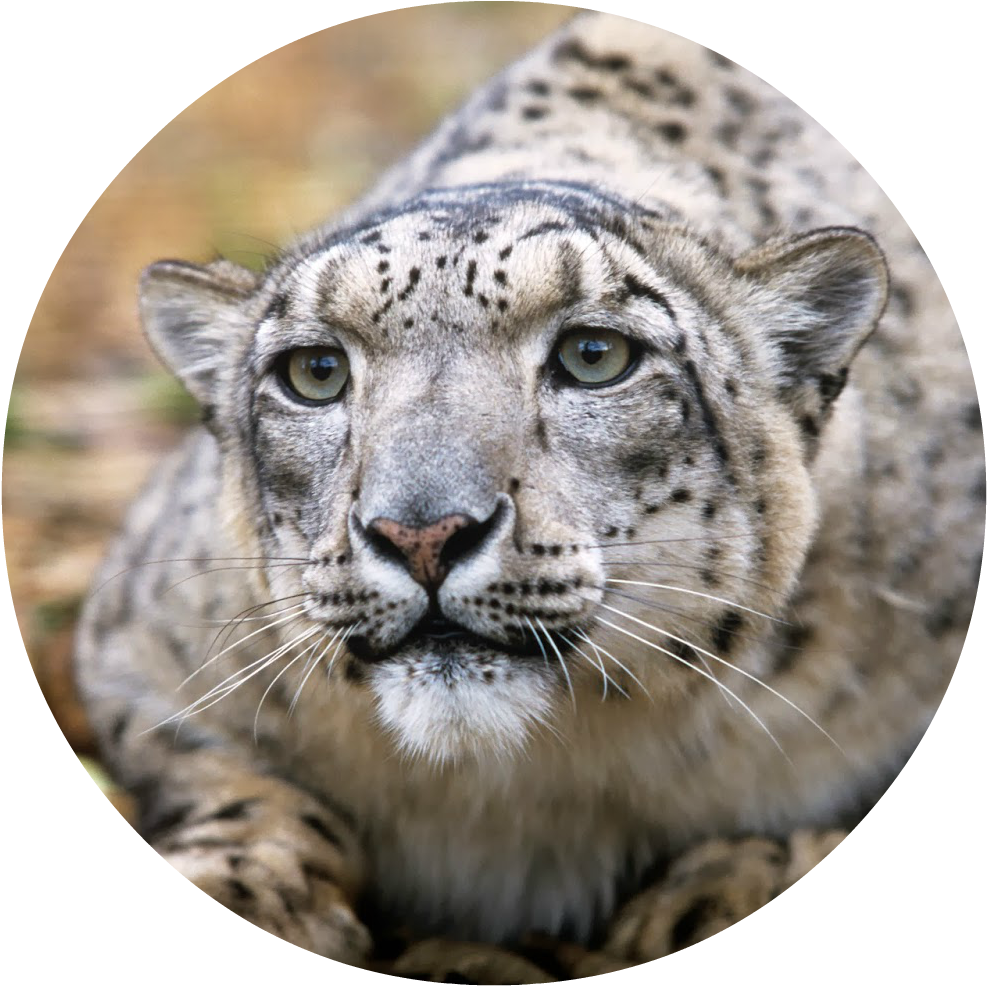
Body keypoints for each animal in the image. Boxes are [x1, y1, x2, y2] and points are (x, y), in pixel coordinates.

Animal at [74, 11, 982, 978]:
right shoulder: (143, 658)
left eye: (595, 355)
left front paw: (713, 890)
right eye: (314, 372)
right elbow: (234, 785)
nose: (421, 533)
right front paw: (240, 883)